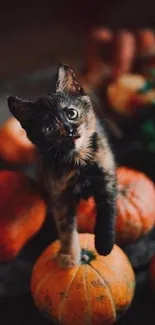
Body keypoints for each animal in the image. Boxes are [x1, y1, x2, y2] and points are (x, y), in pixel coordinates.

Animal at [7, 64, 116, 268]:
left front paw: (104, 245)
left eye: (71, 113)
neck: (78, 161)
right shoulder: (59, 196)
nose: (69, 131)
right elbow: (65, 227)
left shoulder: (106, 179)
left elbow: (108, 212)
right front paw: (70, 256)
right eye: (47, 128)